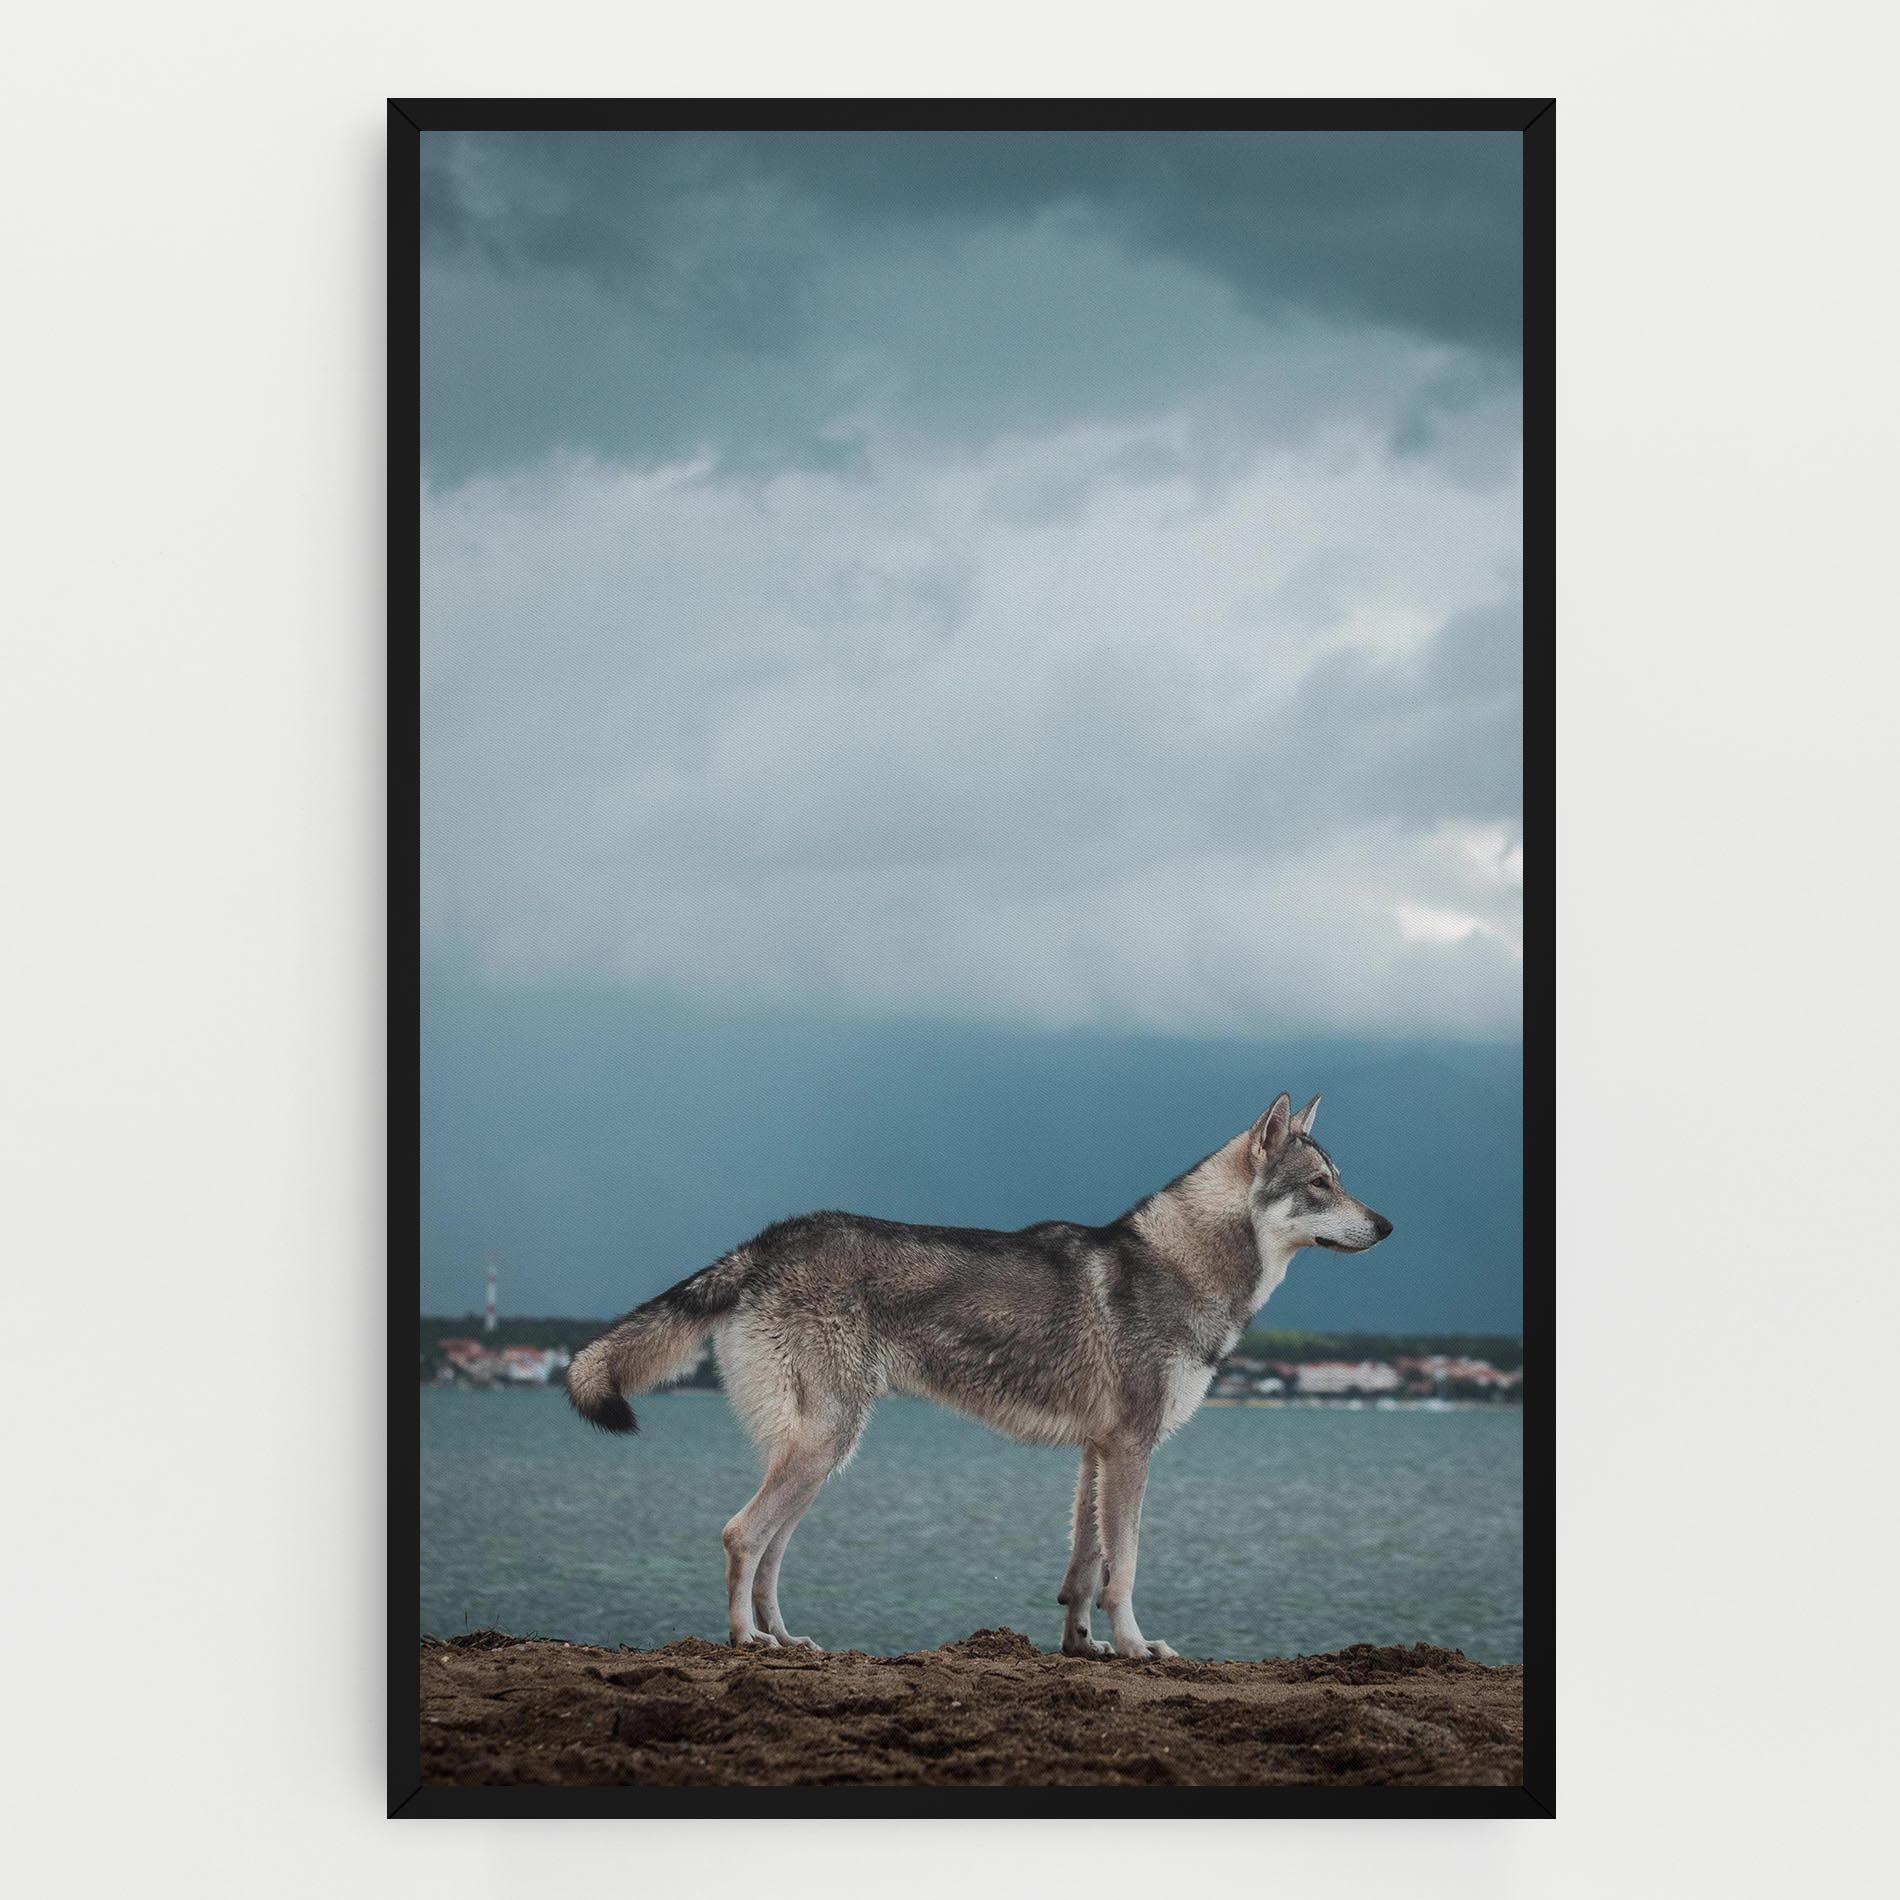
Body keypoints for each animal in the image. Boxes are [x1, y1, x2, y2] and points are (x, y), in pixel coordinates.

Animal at [566, 1091, 1392, 1658]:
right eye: (1320, 1184)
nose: (1387, 1225)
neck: (1186, 1267)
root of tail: (767, 1241)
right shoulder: (1131, 1450)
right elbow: (1123, 1567)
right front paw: (1135, 1648)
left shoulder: (1097, 1454)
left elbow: (1084, 1568)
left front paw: (1084, 1648)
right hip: (822, 1448)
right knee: (741, 1536)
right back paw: (747, 1641)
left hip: (823, 1457)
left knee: (768, 1552)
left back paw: (788, 1639)